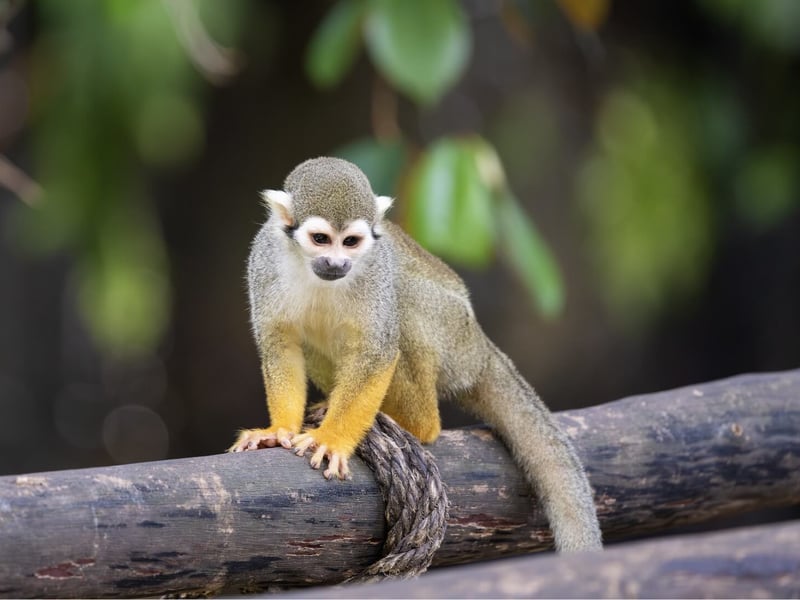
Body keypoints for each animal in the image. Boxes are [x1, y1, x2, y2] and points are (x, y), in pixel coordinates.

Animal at [229, 157, 603, 552]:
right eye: (320, 240)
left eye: (351, 242)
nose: (336, 264)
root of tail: (480, 348)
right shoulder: (264, 260)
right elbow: (280, 344)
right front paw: (278, 430)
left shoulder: (375, 269)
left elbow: (377, 351)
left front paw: (332, 440)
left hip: (452, 330)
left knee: (403, 302)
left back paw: (416, 423)